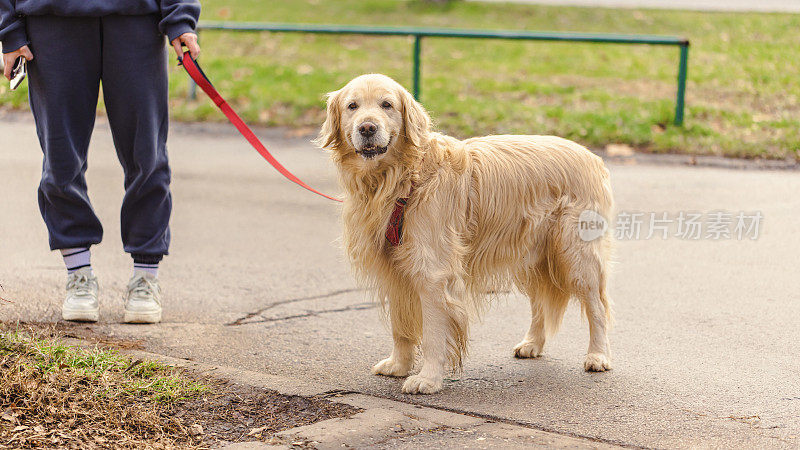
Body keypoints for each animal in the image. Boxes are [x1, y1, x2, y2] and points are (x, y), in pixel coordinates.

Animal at [316, 74, 616, 394]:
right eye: (352, 106)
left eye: (387, 105)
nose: (367, 128)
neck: (403, 180)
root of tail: (591, 156)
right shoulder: (395, 270)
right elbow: (401, 326)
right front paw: (398, 364)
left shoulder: (432, 272)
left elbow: (433, 334)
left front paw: (428, 378)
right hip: (532, 255)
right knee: (540, 303)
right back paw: (532, 343)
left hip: (576, 255)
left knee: (597, 306)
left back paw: (598, 355)